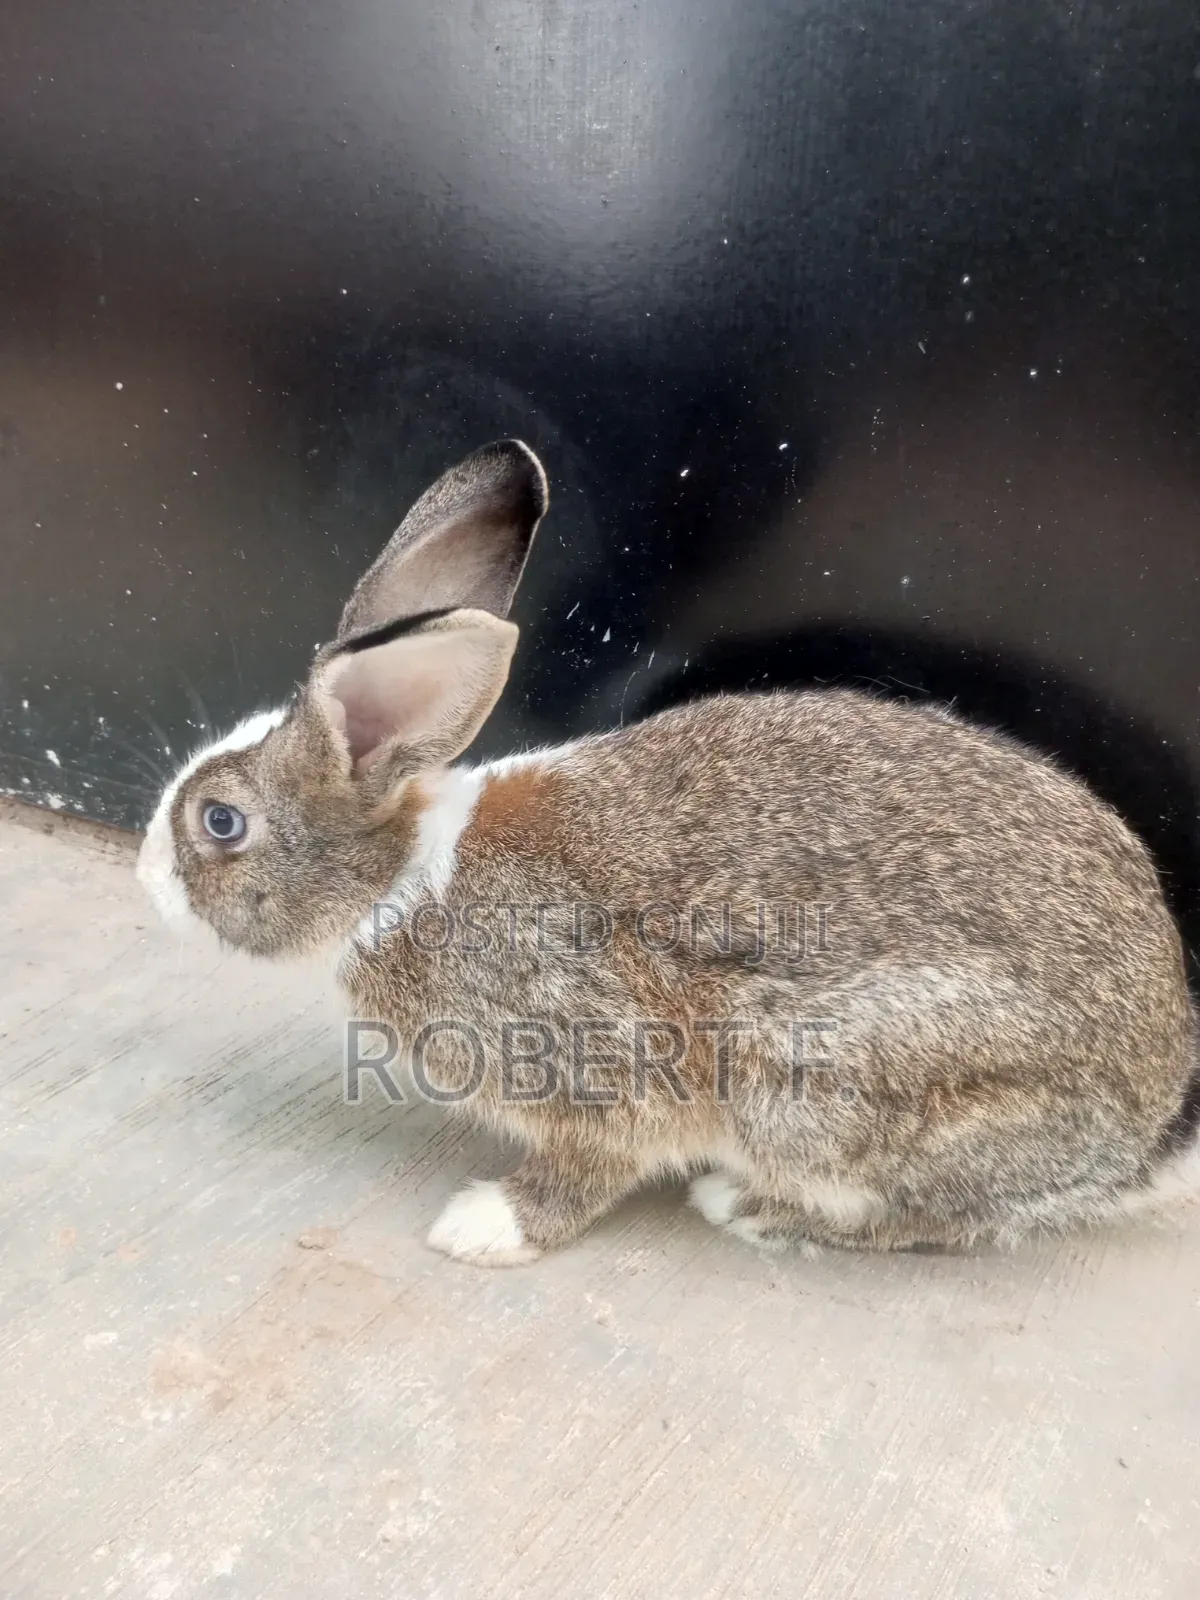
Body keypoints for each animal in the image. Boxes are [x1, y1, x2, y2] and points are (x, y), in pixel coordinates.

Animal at [137, 438, 1200, 1266]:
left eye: (221, 823)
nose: (146, 876)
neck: (400, 876)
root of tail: (1141, 1139)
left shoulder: (591, 1056)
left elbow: (591, 1165)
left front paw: (485, 1228)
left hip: (826, 1085)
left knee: (935, 1218)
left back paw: (746, 1206)